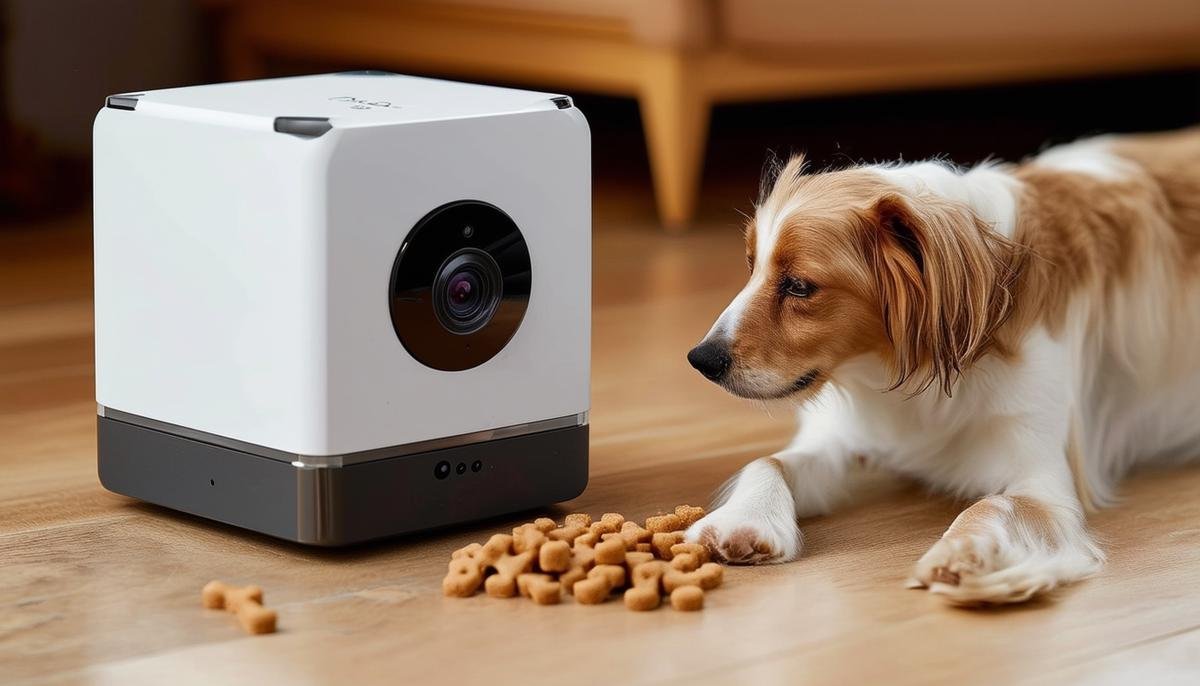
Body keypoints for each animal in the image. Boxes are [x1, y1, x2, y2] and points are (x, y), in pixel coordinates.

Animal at [686, 128, 1200, 604]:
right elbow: (768, 460)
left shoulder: (1042, 480)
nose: (700, 359)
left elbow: (993, 506)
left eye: (799, 286)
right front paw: (743, 521)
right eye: (751, 266)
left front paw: (963, 554)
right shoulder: (844, 434)